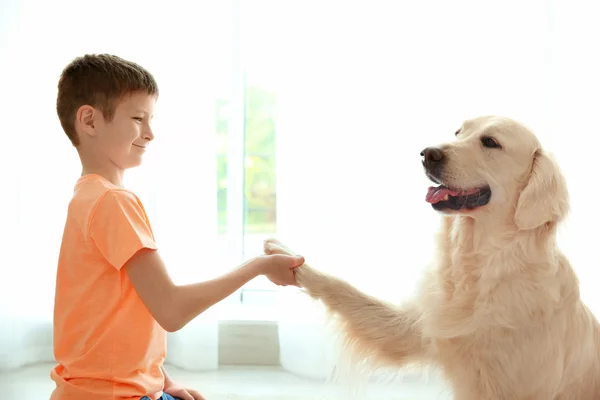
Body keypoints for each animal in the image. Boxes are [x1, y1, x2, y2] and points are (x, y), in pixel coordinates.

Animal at [264, 115, 600, 400]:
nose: (428, 153)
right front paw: (284, 254)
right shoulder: (415, 327)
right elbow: (346, 290)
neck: (482, 266)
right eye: (459, 132)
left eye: (490, 142)